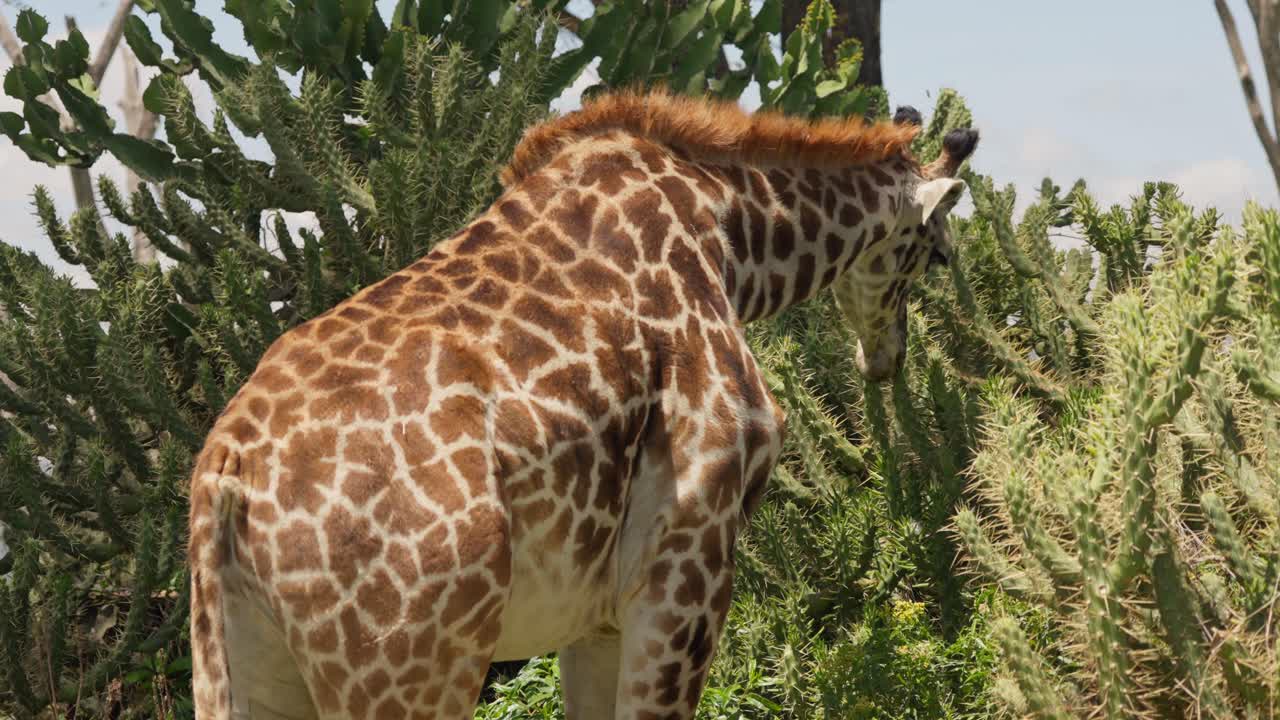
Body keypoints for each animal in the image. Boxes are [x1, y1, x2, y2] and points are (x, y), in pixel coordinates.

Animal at [187, 89, 979, 720]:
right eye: (937, 253)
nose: (885, 358)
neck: (730, 232)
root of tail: (229, 474)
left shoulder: (594, 614)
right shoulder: (687, 564)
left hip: (241, 664)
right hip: (413, 667)